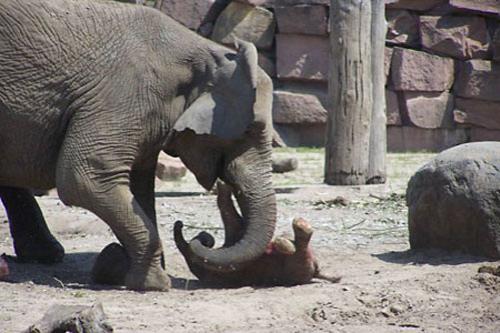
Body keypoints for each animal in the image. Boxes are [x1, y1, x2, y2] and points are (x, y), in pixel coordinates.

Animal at [0, 0, 278, 290]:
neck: (202, 49)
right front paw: (157, 283)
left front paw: (124, 268)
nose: (195, 234)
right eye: (248, 131)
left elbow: (140, 187)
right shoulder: (123, 96)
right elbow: (86, 178)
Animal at [172, 182, 340, 286]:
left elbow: (230, 214)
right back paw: (294, 233)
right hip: (296, 269)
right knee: (300, 254)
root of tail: (317, 272)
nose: (179, 223)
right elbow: (229, 214)